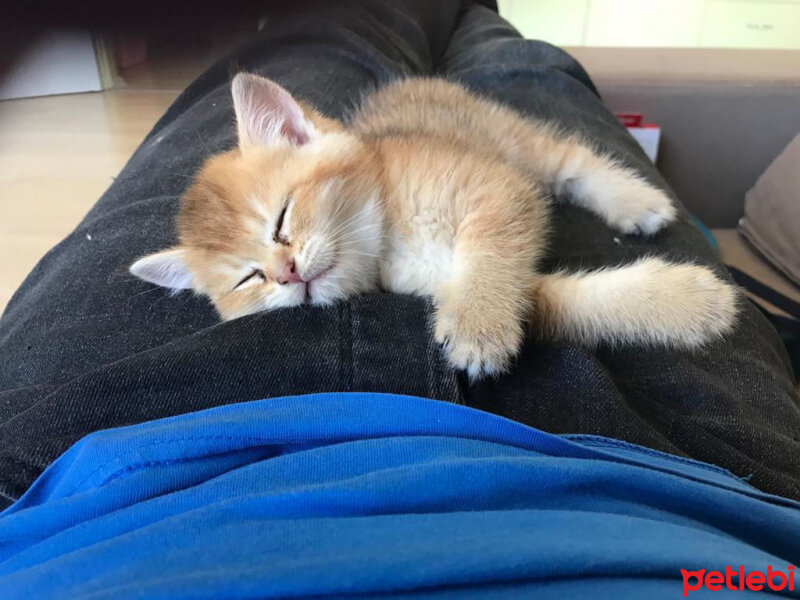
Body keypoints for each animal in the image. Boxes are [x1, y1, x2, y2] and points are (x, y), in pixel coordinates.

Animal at [131, 72, 736, 378]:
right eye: (247, 279)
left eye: (281, 218)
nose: (286, 275)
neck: (388, 235)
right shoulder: (455, 283)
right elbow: (569, 303)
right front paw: (691, 304)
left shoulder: (499, 190)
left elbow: (492, 257)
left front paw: (477, 325)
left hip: (513, 142)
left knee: (571, 162)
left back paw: (638, 200)